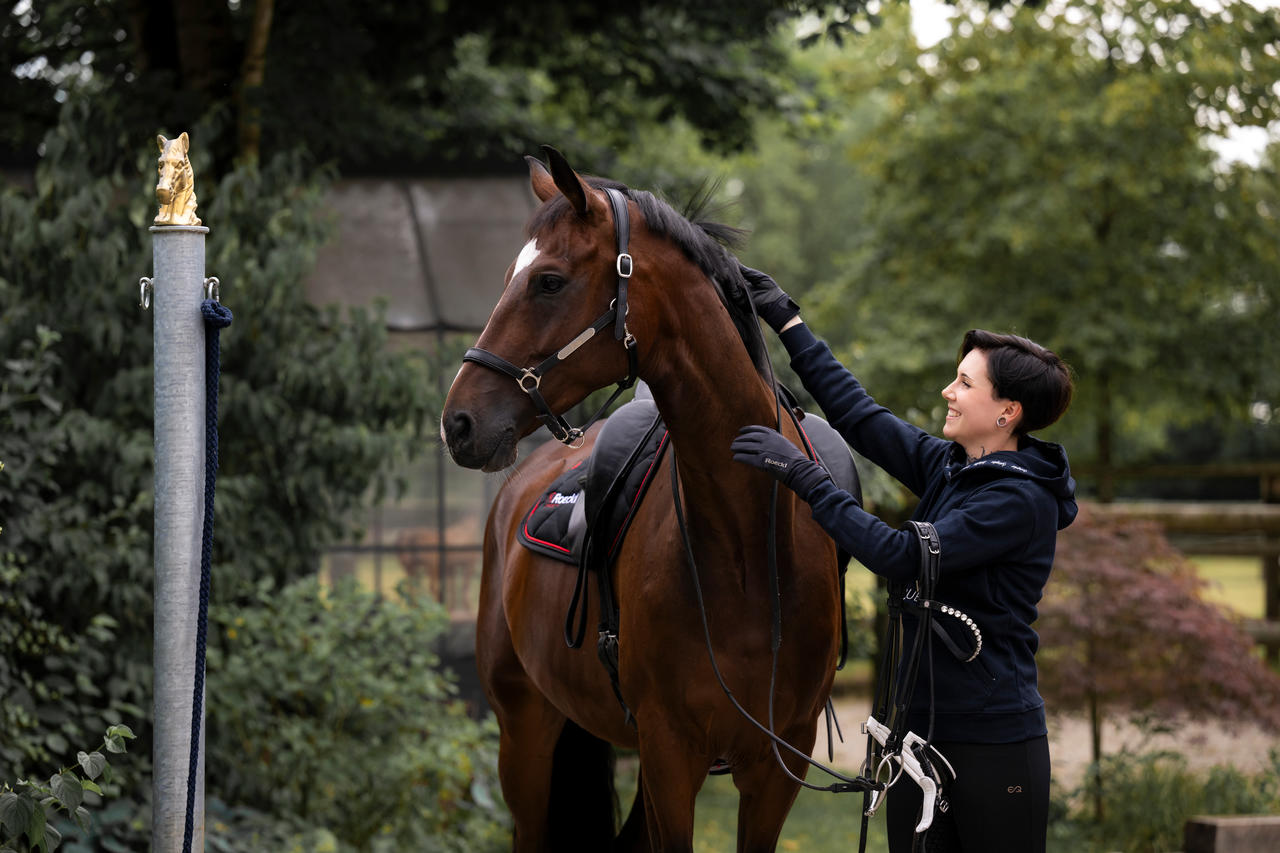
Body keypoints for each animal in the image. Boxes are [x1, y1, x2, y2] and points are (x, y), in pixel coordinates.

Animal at [445, 149, 844, 845]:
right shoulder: (669, 754)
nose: (458, 422)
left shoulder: (777, 768)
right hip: (525, 734)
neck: (746, 546)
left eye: (548, 282)